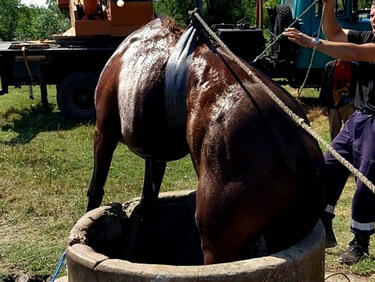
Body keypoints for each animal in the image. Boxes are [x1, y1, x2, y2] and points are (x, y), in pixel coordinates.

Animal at [87, 17, 326, 264]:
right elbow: (147, 204)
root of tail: (298, 153)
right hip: (285, 233)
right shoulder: (155, 155)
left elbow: (96, 190)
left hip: (216, 242)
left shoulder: (103, 131)